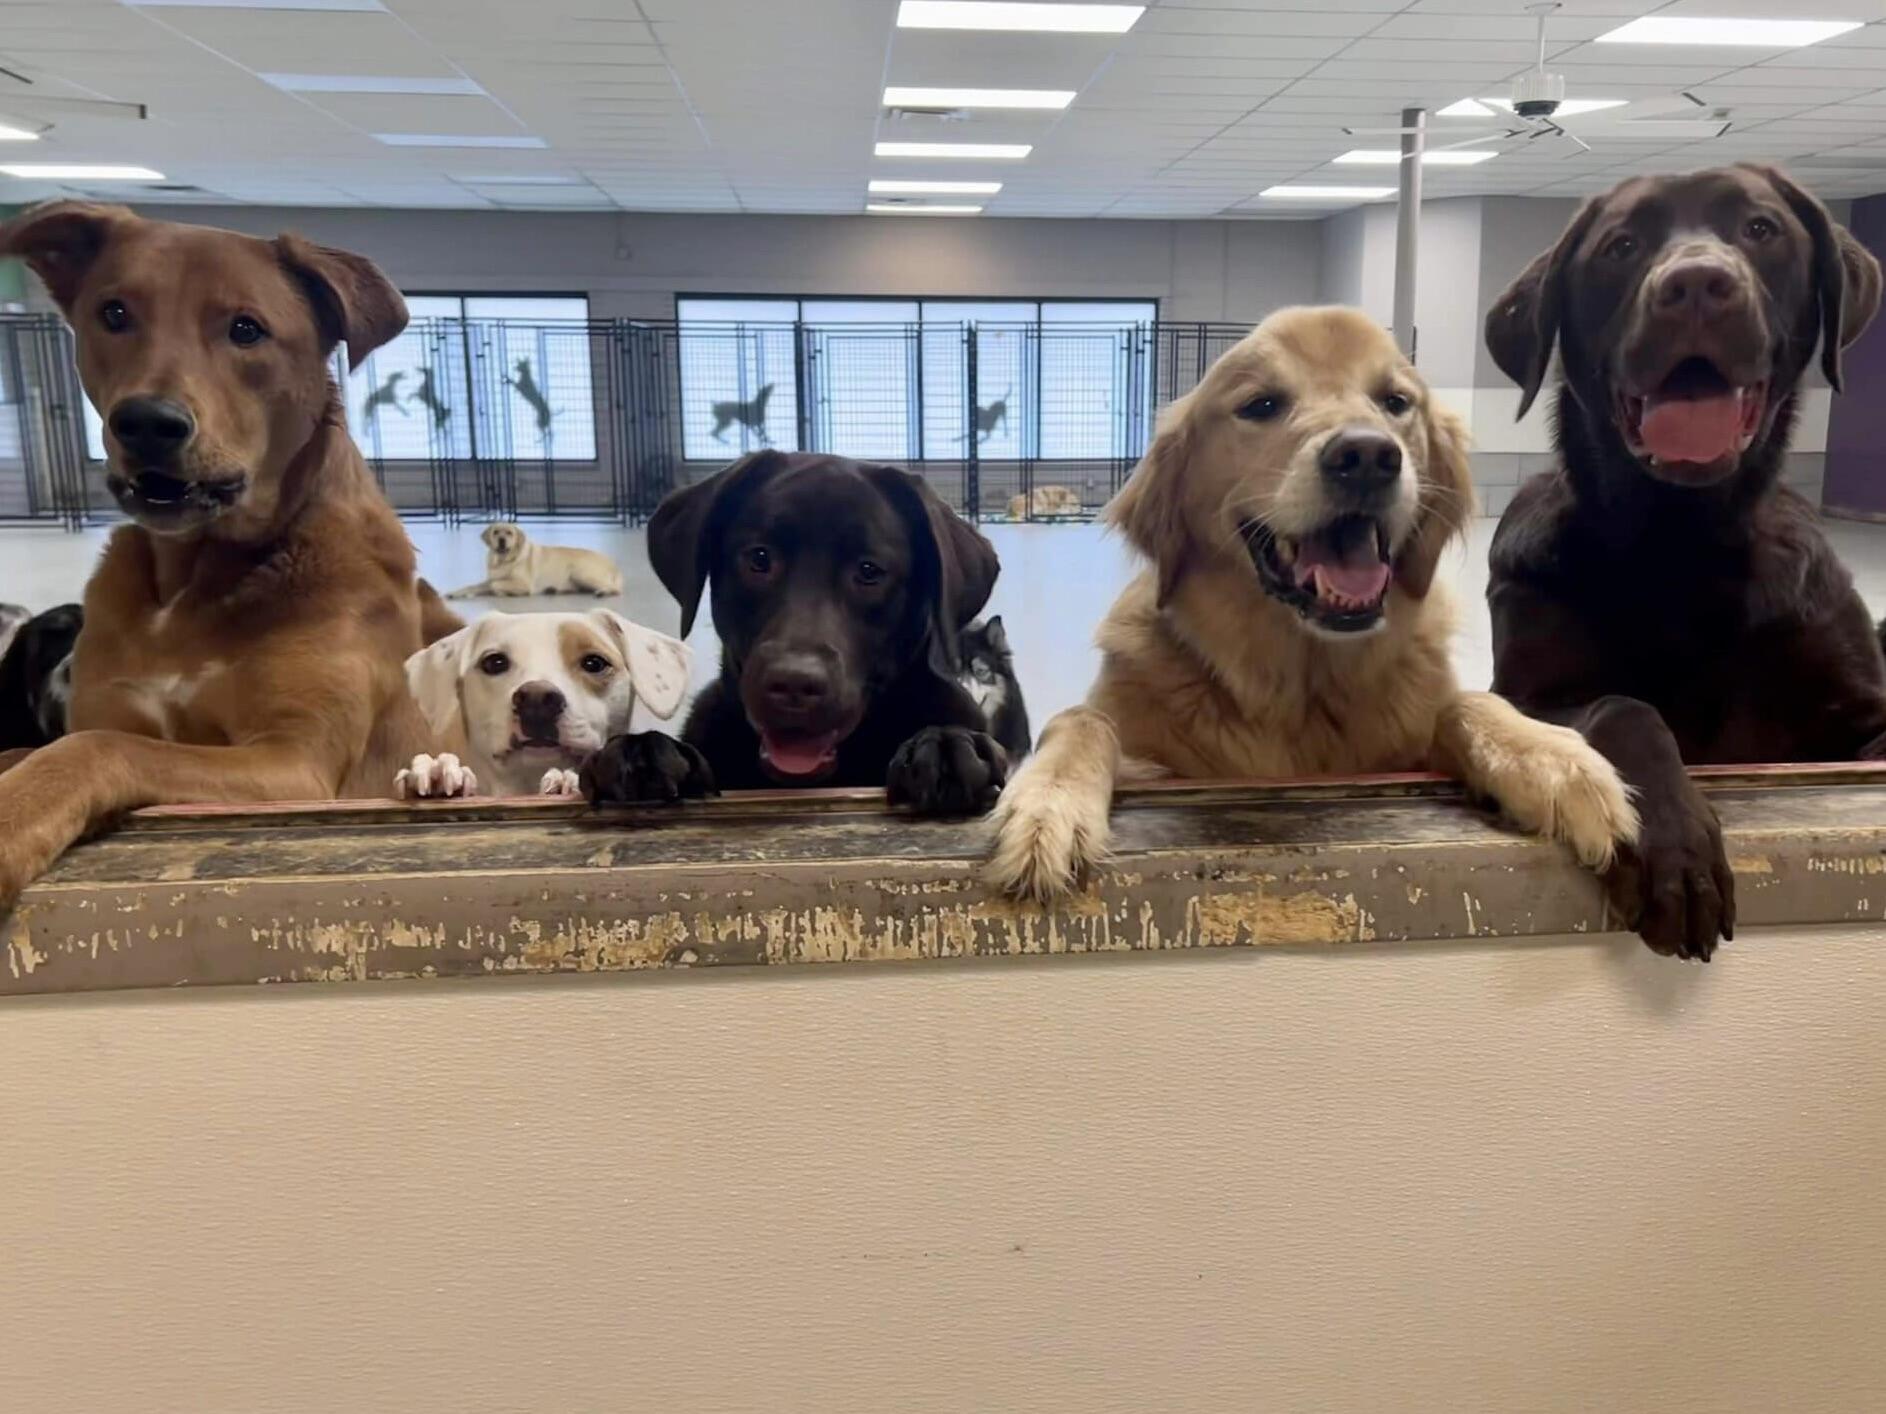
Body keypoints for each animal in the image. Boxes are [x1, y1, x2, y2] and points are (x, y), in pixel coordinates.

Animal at [0, 204, 454, 912]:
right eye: (114, 313)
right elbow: (63, 742)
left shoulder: (292, 763)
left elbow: (96, 748)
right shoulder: (111, 703)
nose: (148, 422)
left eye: (247, 330)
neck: (195, 578)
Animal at [988, 305, 1637, 901]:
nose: (1368, 456)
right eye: (1261, 405)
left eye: (1395, 401)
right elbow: (1081, 720)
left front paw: (1553, 761)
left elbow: (1469, 703)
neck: (1298, 685)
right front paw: (1046, 807)